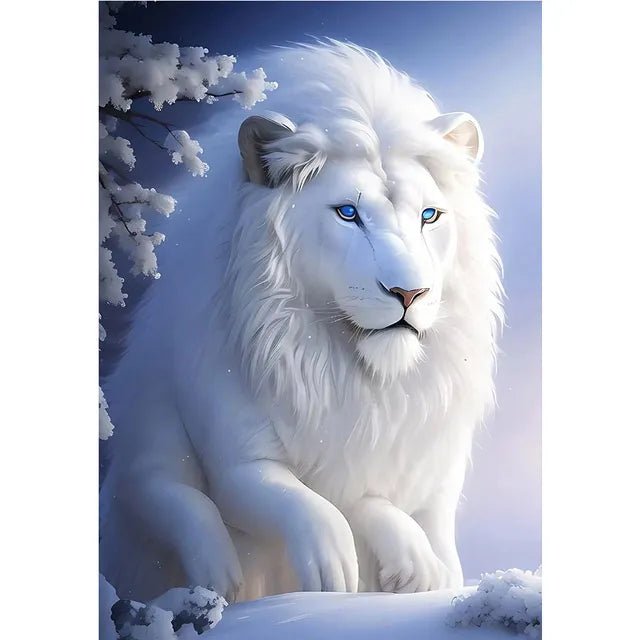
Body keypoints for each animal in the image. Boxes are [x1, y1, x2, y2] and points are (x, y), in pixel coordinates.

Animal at [100, 41, 503, 603]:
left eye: (429, 216)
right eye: (348, 213)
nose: (409, 293)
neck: (355, 377)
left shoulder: (428, 474)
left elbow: (375, 505)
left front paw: (418, 573)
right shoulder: (236, 464)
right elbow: (305, 505)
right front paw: (329, 574)